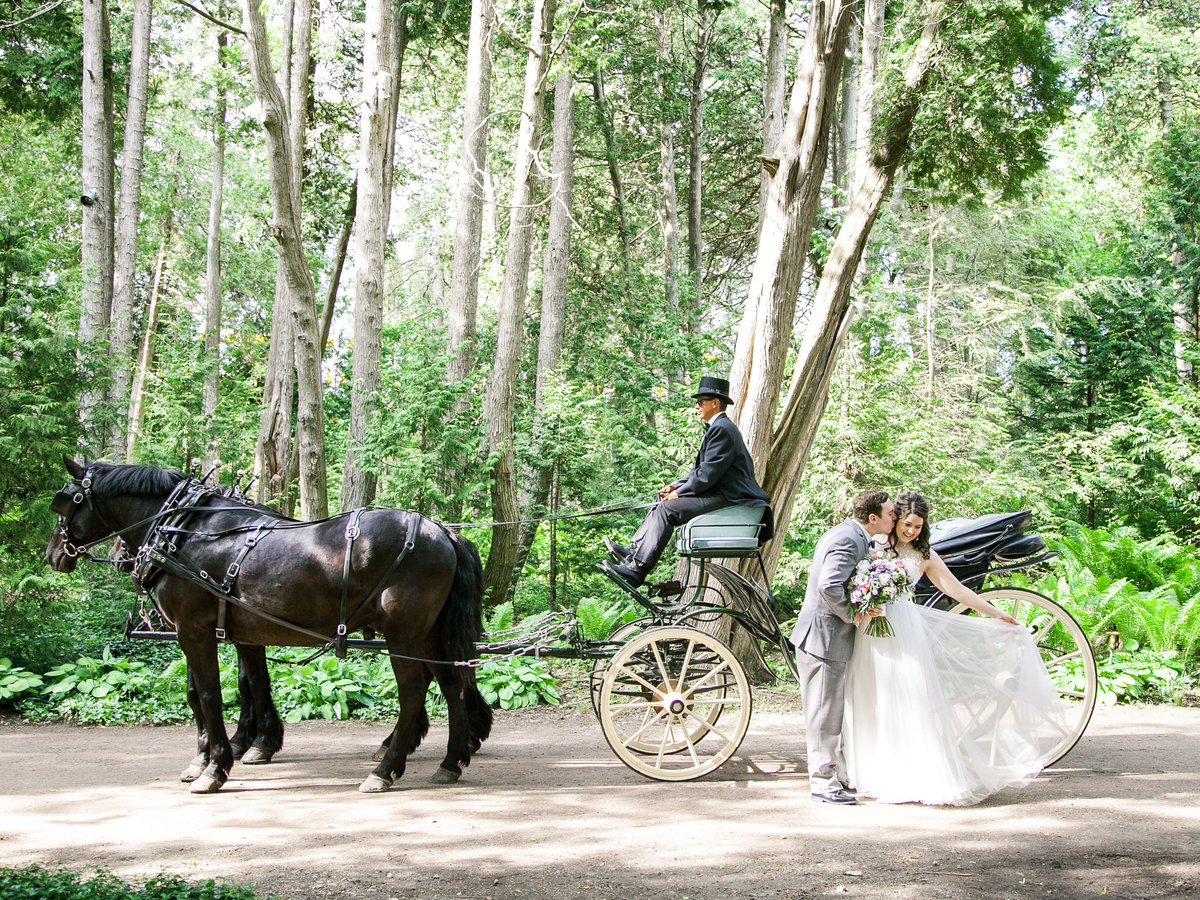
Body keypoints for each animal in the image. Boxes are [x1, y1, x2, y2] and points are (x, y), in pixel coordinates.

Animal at [44, 458, 489, 796]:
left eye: (65, 504)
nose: (53, 555)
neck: (184, 531)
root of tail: (441, 531)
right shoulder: (232, 633)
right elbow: (232, 687)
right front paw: (219, 754)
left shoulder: (193, 631)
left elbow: (209, 695)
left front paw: (216, 767)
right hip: (430, 634)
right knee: (452, 683)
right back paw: (451, 761)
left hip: (403, 633)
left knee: (414, 690)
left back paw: (385, 770)